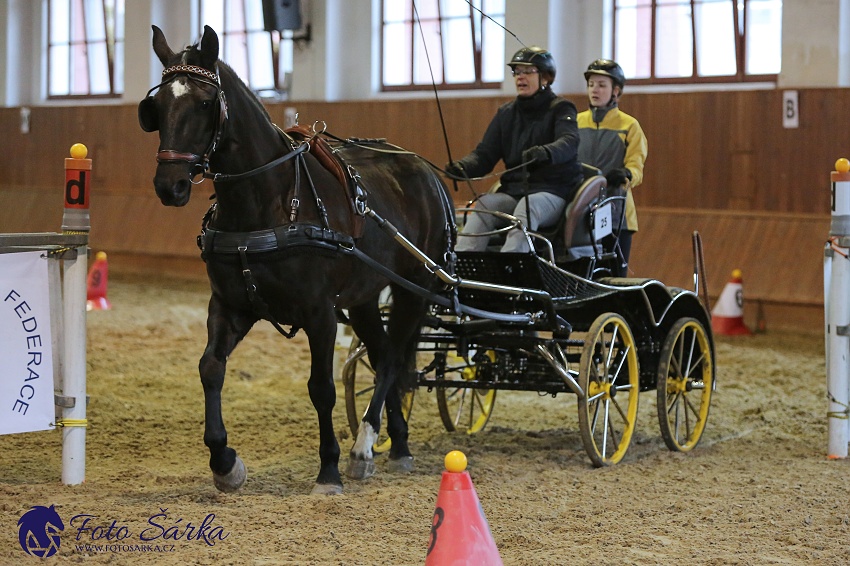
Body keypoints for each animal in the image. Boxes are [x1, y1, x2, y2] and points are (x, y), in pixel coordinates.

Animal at [141, 27, 450, 496]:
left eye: (205, 103)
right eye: (157, 108)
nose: (169, 185)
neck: (267, 199)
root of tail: (426, 170)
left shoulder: (319, 313)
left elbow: (321, 388)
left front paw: (328, 470)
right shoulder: (230, 305)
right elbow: (210, 368)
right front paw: (224, 462)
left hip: (414, 286)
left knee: (394, 359)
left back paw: (363, 446)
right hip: (363, 298)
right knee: (383, 357)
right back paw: (394, 445)